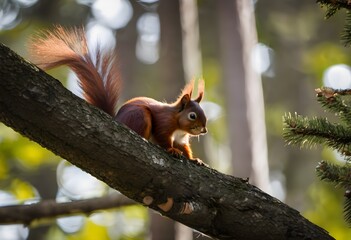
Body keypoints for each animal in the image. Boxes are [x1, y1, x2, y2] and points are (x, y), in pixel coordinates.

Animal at [28, 25, 209, 165]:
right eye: (192, 115)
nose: (204, 130)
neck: (179, 125)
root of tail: (117, 120)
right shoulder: (164, 124)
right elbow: (164, 138)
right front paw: (172, 150)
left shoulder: (181, 139)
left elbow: (185, 148)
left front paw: (194, 159)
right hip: (140, 116)